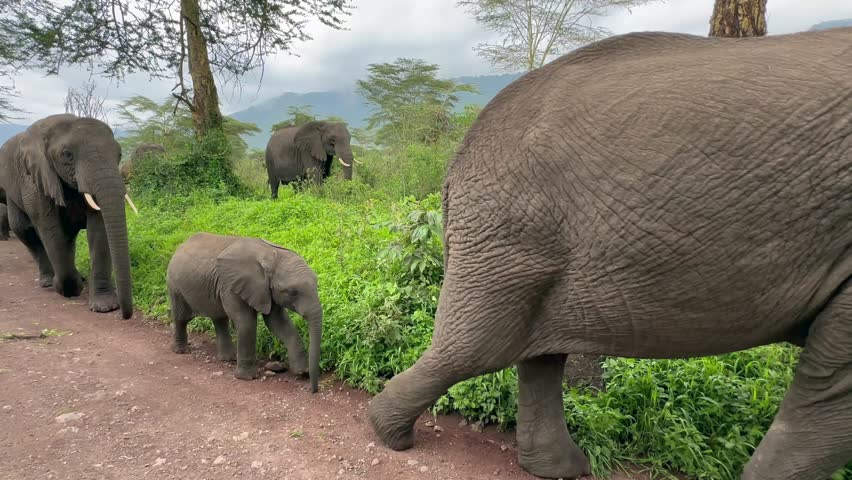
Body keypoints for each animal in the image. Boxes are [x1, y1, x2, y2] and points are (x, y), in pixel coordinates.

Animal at [0, 114, 136, 318]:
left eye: (119, 154)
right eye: (67, 155)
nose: (126, 315)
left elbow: (99, 229)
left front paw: (105, 307)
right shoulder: (36, 179)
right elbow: (51, 230)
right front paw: (67, 288)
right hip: (11, 192)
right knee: (25, 230)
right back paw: (48, 281)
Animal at [166, 232, 323, 392]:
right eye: (292, 293)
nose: (313, 391)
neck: (270, 256)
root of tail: (181, 244)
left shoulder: (266, 290)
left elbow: (278, 322)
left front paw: (302, 372)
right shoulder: (231, 285)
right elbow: (246, 322)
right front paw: (248, 378)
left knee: (219, 318)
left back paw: (228, 359)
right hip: (174, 284)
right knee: (181, 317)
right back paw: (181, 351)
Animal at [367, 29, 852, 480]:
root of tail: (455, 164)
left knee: (533, 355)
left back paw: (558, 468)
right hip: (508, 229)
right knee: (477, 349)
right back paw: (391, 436)